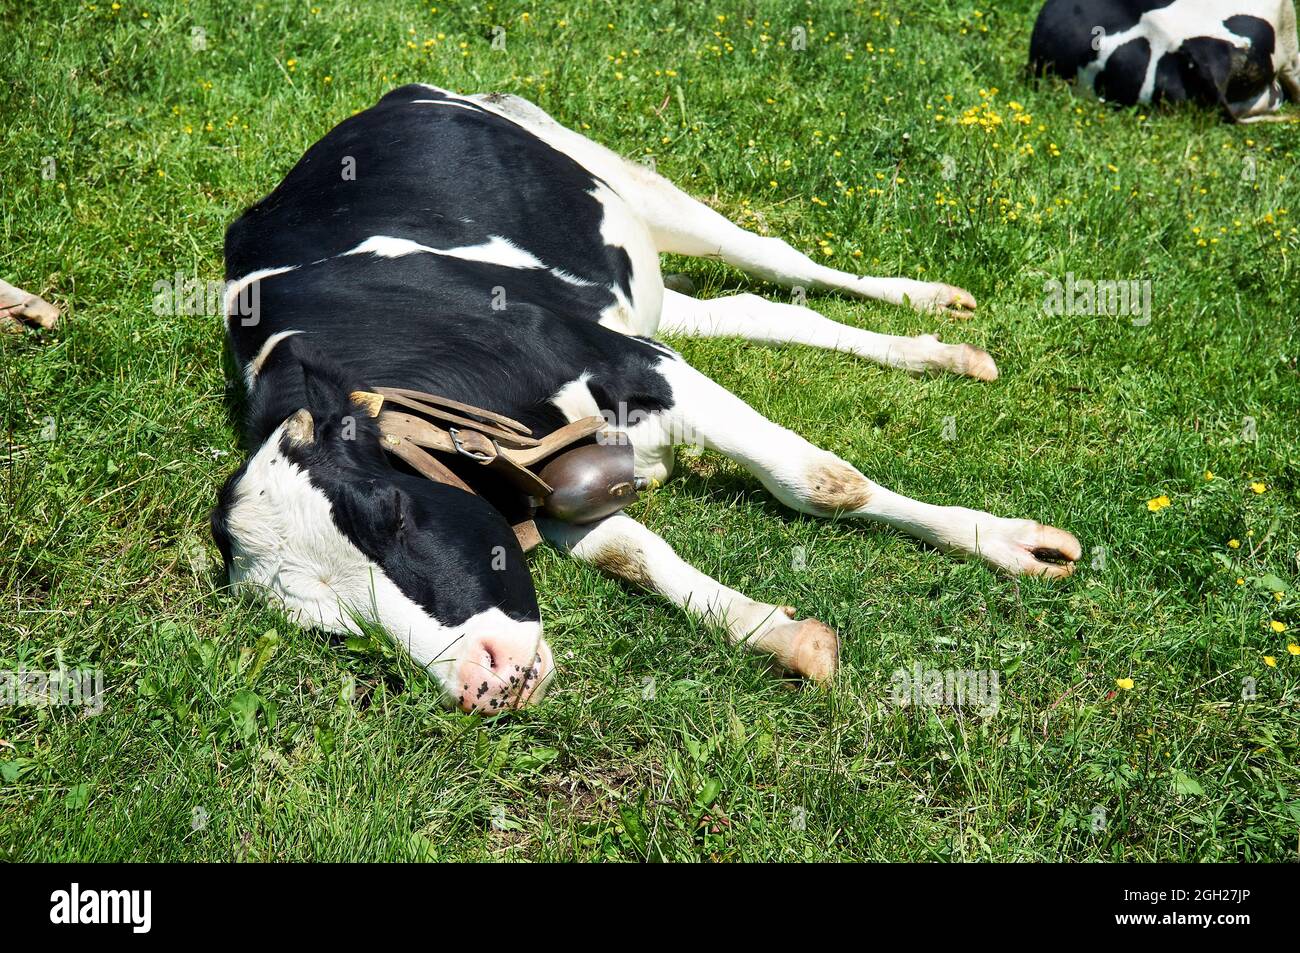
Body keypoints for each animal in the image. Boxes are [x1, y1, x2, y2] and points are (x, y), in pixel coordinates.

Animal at [207, 84, 1081, 715]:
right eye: (331, 627)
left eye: (387, 512)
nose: (482, 684)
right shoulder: (545, 481)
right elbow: (634, 555)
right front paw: (776, 633)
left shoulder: (633, 360)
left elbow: (822, 483)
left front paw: (1006, 543)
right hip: (641, 293)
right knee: (759, 310)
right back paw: (935, 352)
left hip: (629, 184)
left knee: (782, 261)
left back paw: (933, 310)